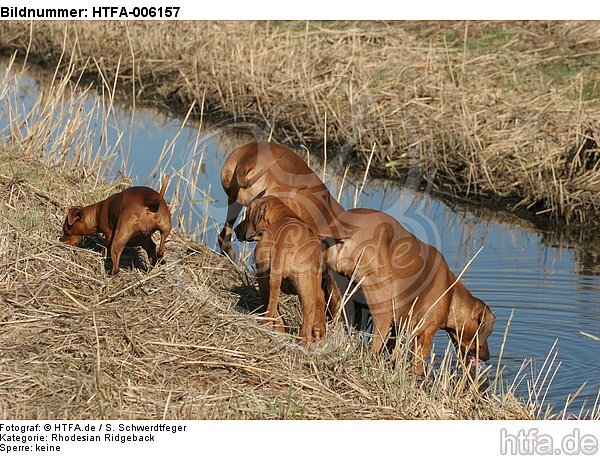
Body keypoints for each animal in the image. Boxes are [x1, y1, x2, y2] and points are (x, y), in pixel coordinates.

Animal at [236, 196, 328, 346]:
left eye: (247, 215)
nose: (235, 230)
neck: (285, 215)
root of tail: (283, 243)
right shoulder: (318, 287)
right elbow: (320, 306)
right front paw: (320, 335)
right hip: (306, 287)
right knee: (307, 319)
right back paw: (304, 343)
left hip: (264, 278)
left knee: (271, 305)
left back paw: (277, 329)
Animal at [326, 208, 494, 372]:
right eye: (490, 332)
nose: (487, 357)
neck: (451, 293)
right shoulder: (425, 334)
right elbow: (417, 366)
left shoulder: (396, 329)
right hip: (383, 311)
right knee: (374, 347)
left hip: (339, 300)